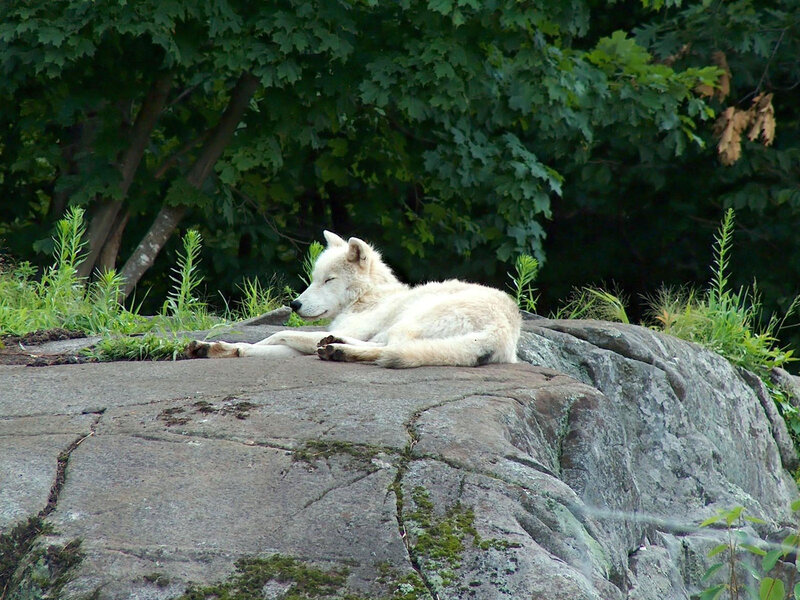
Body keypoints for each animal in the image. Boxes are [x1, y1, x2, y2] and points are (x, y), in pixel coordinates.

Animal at [185, 231, 522, 368]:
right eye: (313, 278)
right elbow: (257, 346)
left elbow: (276, 334)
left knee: (392, 350)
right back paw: (336, 348)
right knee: (386, 348)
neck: (369, 298)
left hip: (411, 319)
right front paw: (214, 348)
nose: (294, 305)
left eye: (329, 280)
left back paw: (338, 349)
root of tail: (504, 331)